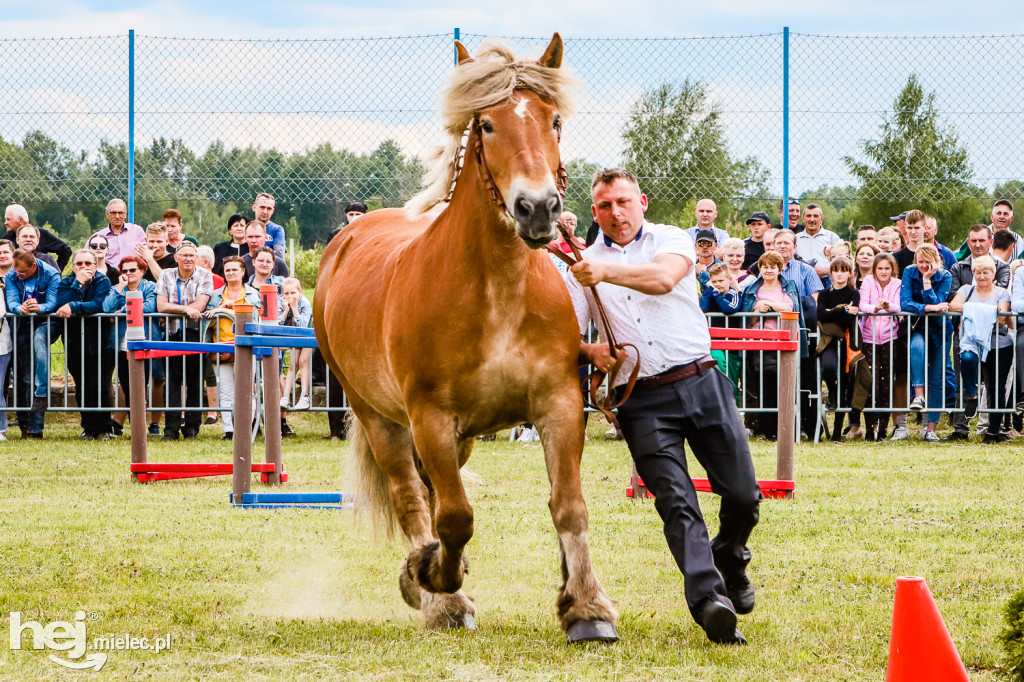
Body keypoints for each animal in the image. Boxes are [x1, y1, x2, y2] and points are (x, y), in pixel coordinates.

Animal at [313, 34, 614, 638]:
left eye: (553, 120)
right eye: (488, 125)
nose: (537, 207)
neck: (497, 293)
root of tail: (347, 239)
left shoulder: (559, 405)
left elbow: (569, 505)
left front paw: (587, 609)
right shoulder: (429, 417)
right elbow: (453, 518)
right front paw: (435, 581)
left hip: (462, 436)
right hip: (379, 417)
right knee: (413, 497)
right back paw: (434, 590)